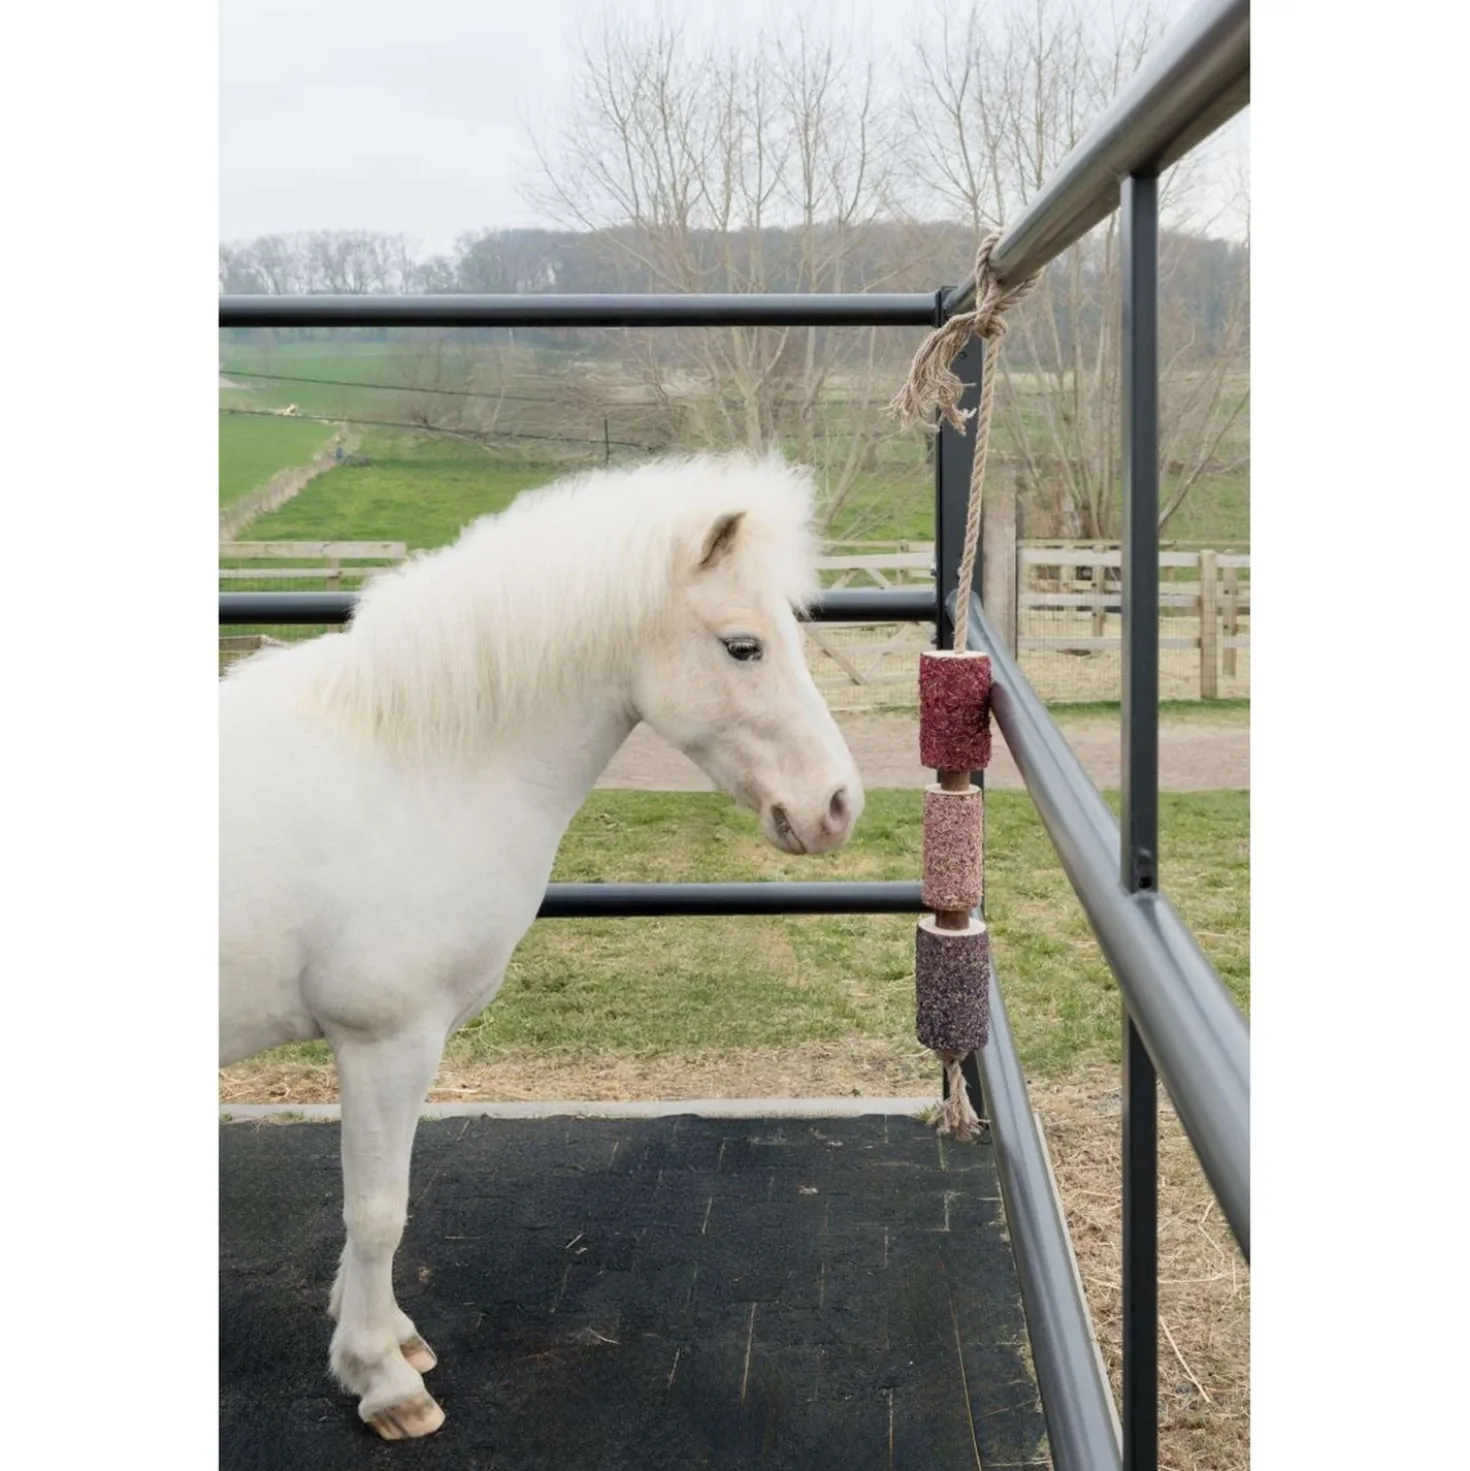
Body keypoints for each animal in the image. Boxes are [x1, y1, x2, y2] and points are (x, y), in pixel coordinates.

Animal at [220, 452, 865, 1439]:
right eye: (743, 646)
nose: (836, 804)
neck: (411, 764)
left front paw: (393, 1338)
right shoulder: (383, 1040)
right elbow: (378, 1210)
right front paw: (382, 1381)